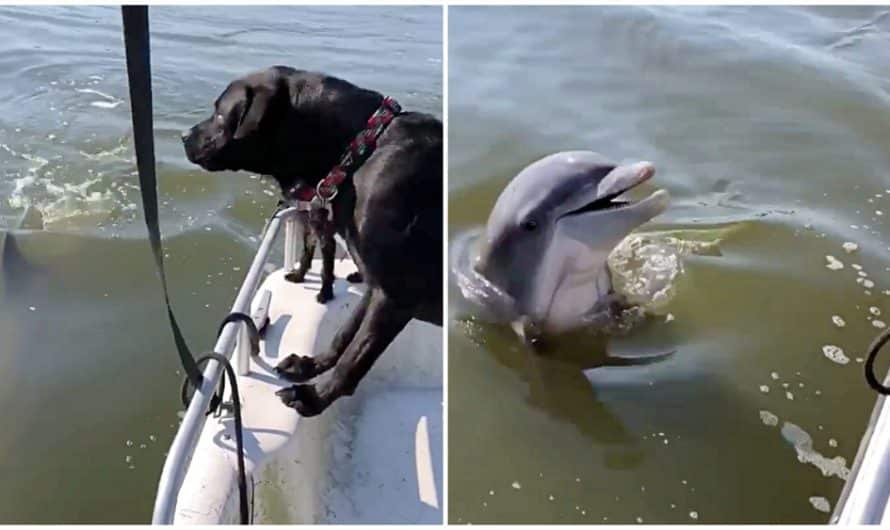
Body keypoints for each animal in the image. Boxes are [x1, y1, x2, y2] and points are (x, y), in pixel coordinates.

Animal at [183, 66, 440, 414]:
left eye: (220, 113)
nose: (184, 137)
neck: (360, 151)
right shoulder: (376, 285)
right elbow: (344, 335)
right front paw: (309, 365)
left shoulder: (395, 296)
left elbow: (353, 361)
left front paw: (313, 397)